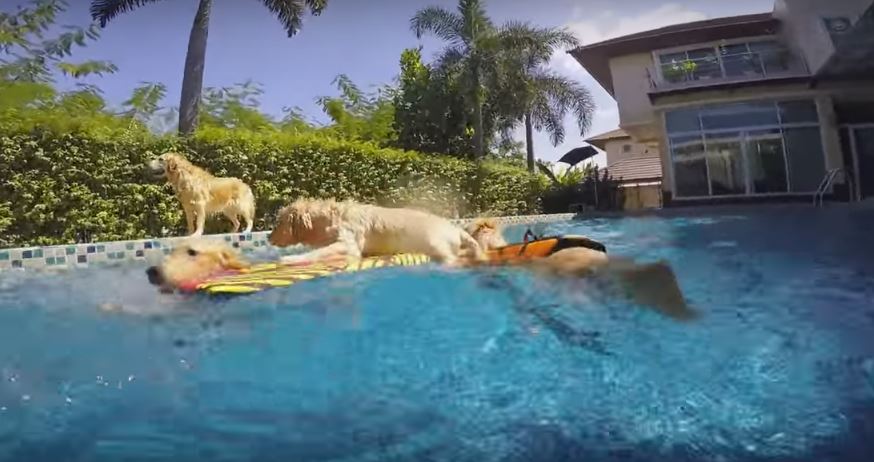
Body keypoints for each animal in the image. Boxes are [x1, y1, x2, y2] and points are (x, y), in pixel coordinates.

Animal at [268, 198, 484, 264]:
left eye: (278, 222)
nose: (269, 237)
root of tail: (457, 229)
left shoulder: (349, 243)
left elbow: (320, 252)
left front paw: (289, 259)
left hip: (436, 243)